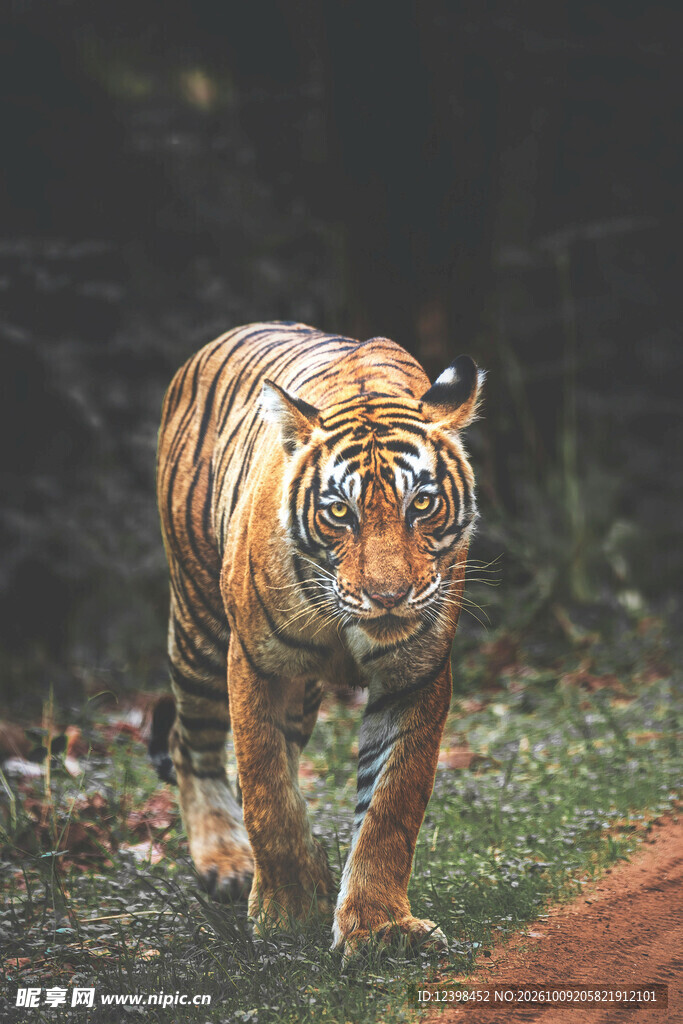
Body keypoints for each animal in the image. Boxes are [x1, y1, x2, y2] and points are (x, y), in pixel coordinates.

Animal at [153, 321, 483, 956]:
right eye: (338, 512)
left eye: (422, 503)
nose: (389, 596)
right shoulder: (256, 663)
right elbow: (267, 790)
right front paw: (284, 911)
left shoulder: (416, 675)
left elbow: (391, 804)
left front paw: (378, 927)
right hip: (200, 628)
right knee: (192, 743)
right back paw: (227, 861)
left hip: (300, 694)